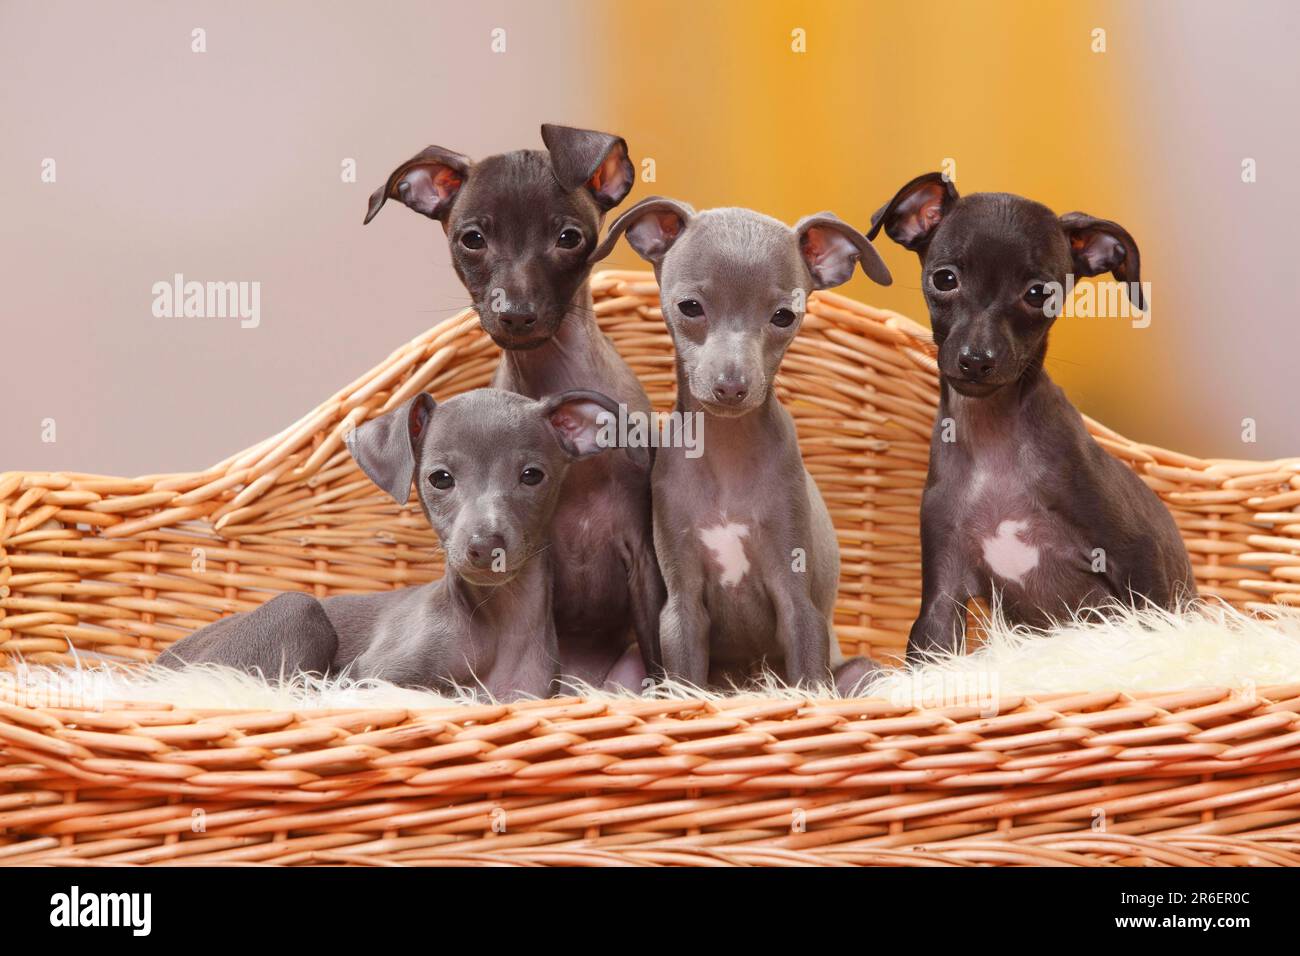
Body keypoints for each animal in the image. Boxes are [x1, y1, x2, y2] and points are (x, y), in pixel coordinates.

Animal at [154, 387, 621, 702]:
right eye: (440, 478)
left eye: (532, 475)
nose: (485, 545)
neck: (495, 623)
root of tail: (154, 670)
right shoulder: (365, 677)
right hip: (297, 611)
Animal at [595, 200, 894, 697]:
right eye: (690, 307)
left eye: (783, 316)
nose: (731, 387)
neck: (727, 452)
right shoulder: (681, 608)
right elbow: (685, 678)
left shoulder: (798, 603)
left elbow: (808, 676)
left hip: (862, 671)